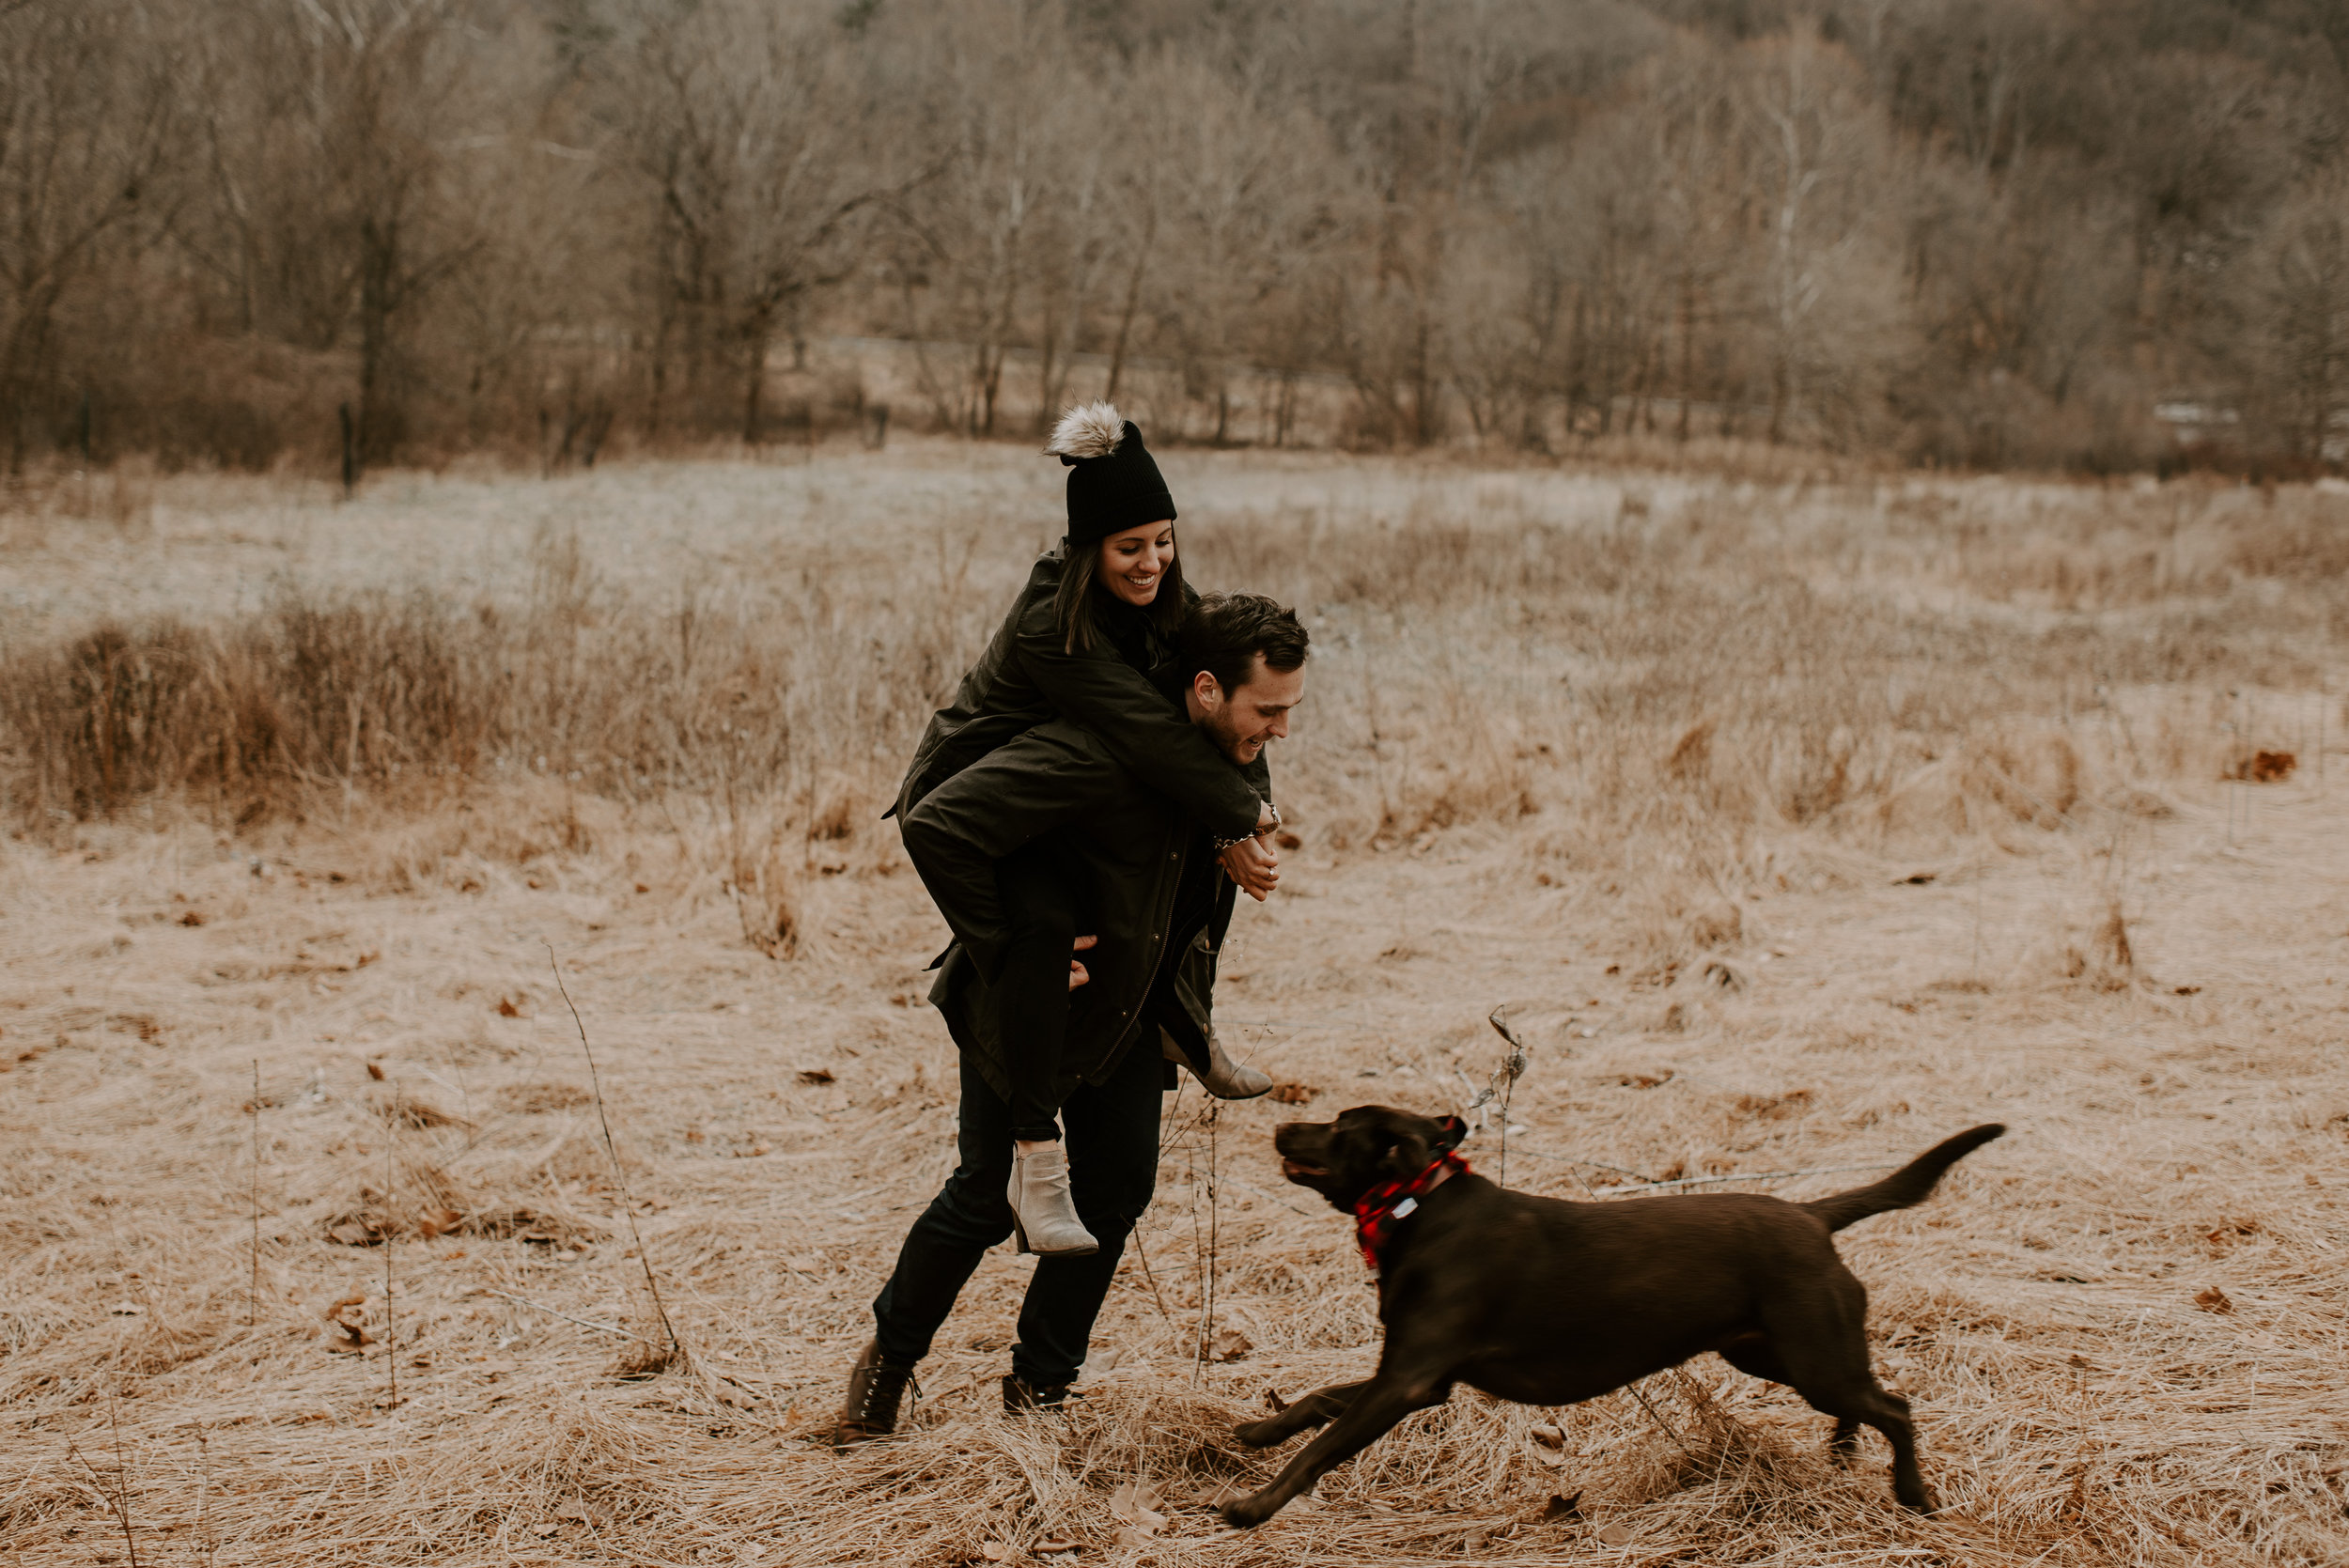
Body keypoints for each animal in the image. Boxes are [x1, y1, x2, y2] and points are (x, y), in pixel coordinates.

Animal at [1221, 1108, 2011, 1521]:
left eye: (1338, 1125)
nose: (1282, 1122)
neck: (1419, 1206)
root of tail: (1813, 1216)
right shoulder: (1418, 1375)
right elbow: (1319, 1402)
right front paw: (1259, 1428)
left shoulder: (1410, 1379)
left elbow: (1325, 1443)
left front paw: (1254, 1505)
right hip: (1772, 1351)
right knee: (1864, 1401)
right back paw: (1843, 1452)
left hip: (1813, 1355)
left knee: (1896, 1406)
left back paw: (1913, 1492)